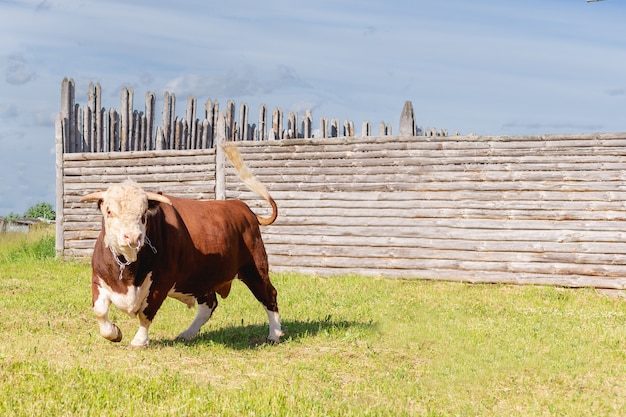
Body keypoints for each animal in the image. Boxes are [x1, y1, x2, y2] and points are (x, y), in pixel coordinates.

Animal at [80, 145, 282, 346]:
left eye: (144, 214)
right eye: (109, 211)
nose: (133, 237)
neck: (128, 272)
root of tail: (243, 209)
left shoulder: (160, 283)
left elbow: (146, 313)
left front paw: (139, 341)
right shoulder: (98, 278)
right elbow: (100, 311)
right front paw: (114, 333)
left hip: (255, 267)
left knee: (269, 295)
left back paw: (275, 334)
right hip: (202, 277)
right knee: (209, 305)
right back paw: (187, 334)